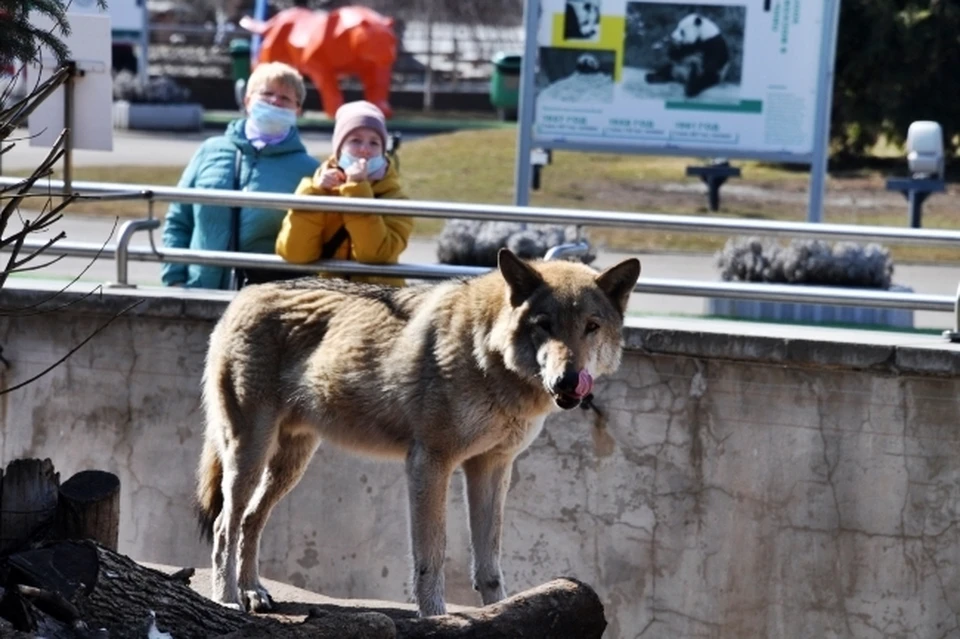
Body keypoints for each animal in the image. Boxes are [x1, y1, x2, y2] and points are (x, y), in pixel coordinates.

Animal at [196, 249, 640, 616]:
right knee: (224, 526)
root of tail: (244, 294)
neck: (486, 353)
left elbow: (489, 563)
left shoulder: (492, 467)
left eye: (591, 326)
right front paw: (437, 618)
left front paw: (504, 613)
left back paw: (253, 591)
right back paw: (228, 599)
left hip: (289, 466)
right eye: (544, 325)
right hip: (249, 455)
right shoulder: (429, 463)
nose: (569, 381)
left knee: (250, 520)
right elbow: (432, 557)